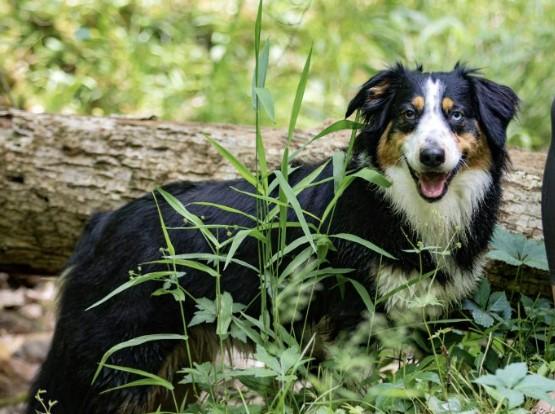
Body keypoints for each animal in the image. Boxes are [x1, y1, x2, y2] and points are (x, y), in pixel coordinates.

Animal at [27, 63, 520, 412]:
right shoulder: (348, 323)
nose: (432, 156)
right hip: (115, 360)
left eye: (458, 116)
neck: (409, 210)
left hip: (171, 370)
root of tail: (103, 220)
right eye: (407, 115)